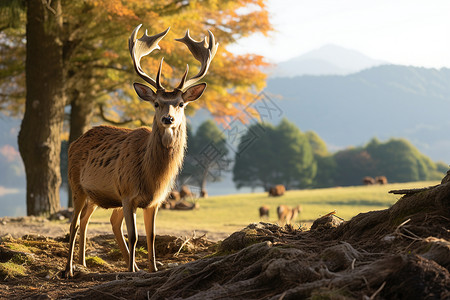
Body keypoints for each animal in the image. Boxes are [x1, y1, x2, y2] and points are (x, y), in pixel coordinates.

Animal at [63, 24, 218, 278]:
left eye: (181, 104)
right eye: (156, 103)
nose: (168, 119)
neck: (151, 177)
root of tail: (74, 142)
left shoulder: (156, 200)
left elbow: (152, 236)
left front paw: (152, 268)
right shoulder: (127, 193)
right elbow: (135, 236)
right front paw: (131, 272)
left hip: (98, 195)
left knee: (95, 220)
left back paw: (86, 262)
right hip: (76, 184)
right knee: (75, 222)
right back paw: (69, 269)